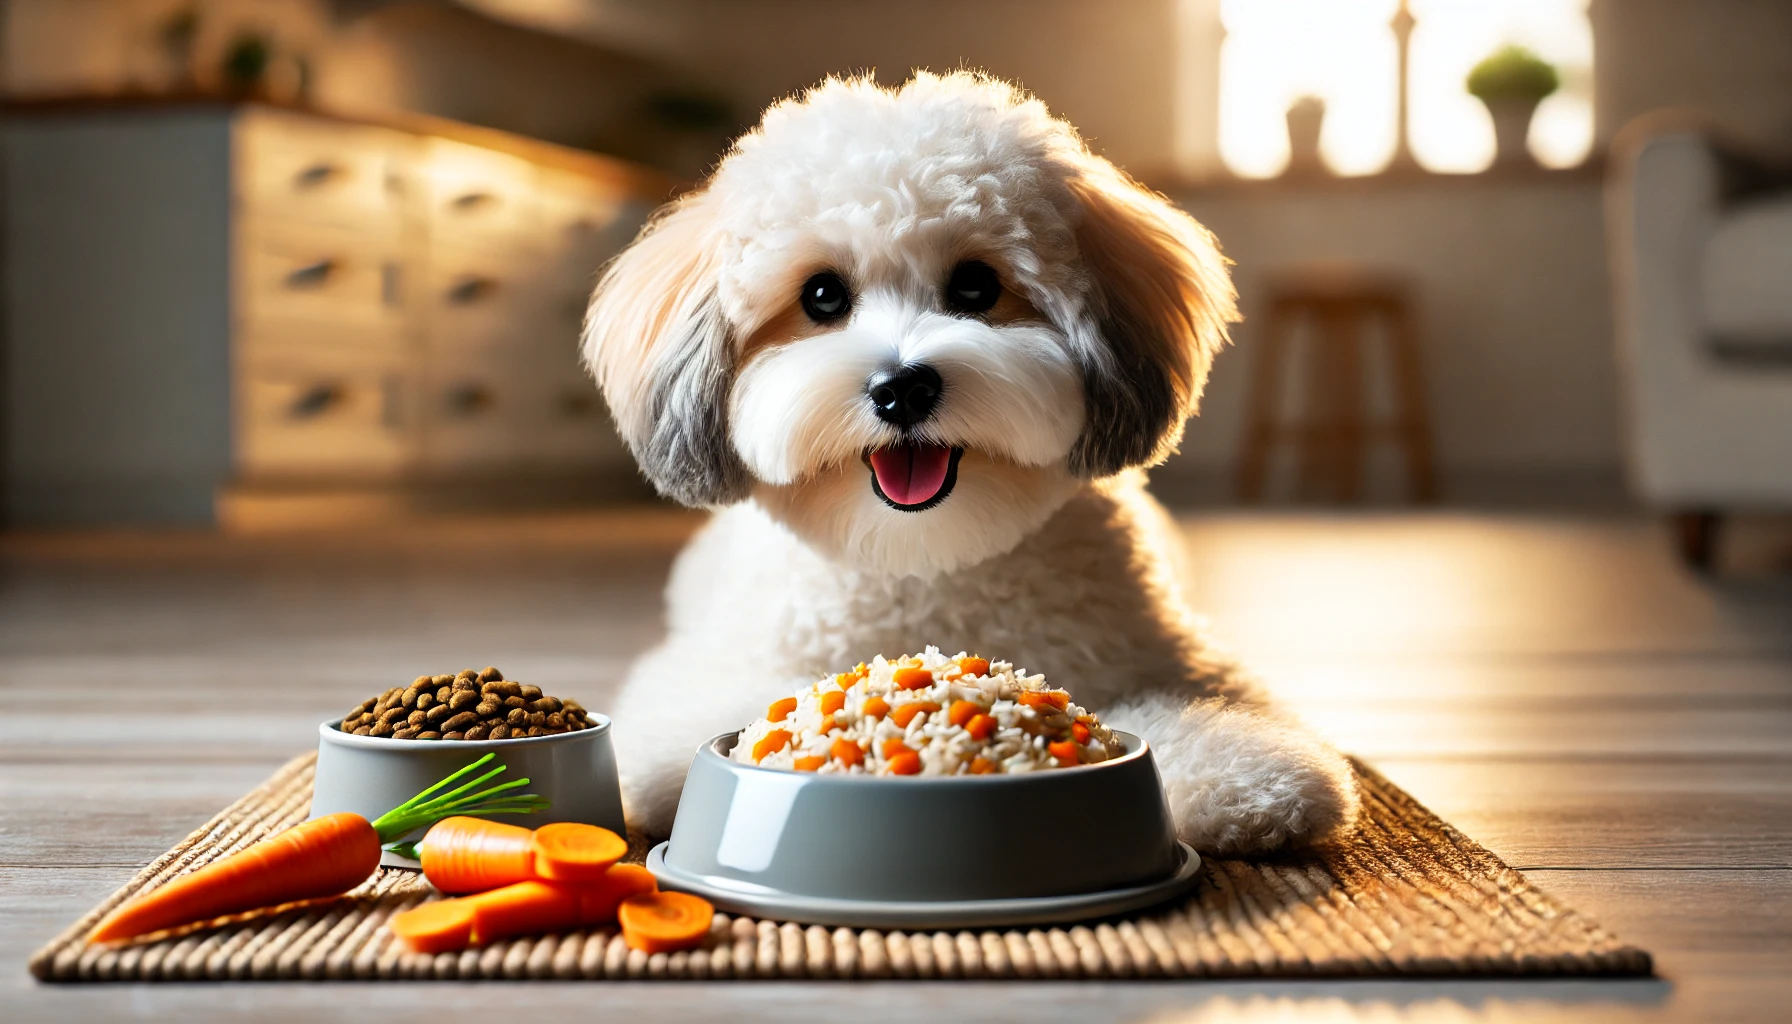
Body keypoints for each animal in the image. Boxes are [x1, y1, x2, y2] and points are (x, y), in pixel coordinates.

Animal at [580, 73, 1347, 857]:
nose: (902, 387)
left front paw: (1245, 776)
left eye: (976, 286)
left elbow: (1190, 709)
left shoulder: (1175, 659)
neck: (929, 558)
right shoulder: (708, 669)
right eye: (822, 295)